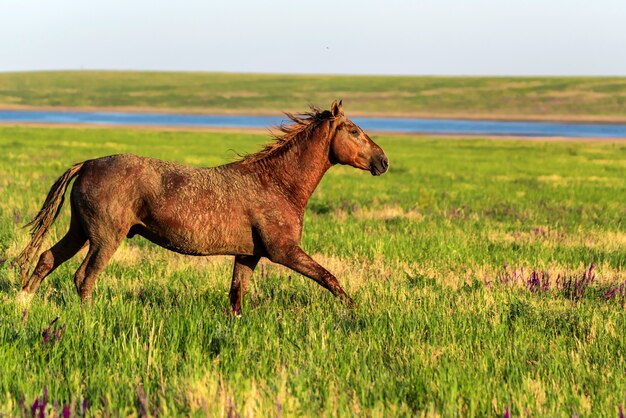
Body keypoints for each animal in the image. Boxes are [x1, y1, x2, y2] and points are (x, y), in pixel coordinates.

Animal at [17, 99, 388, 312]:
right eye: (354, 131)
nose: (383, 162)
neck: (277, 184)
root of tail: (87, 164)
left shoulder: (248, 255)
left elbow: (236, 296)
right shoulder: (283, 251)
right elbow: (330, 278)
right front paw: (355, 313)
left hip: (80, 231)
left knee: (47, 258)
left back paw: (22, 304)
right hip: (105, 238)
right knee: (83, 277)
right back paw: (87, 320)